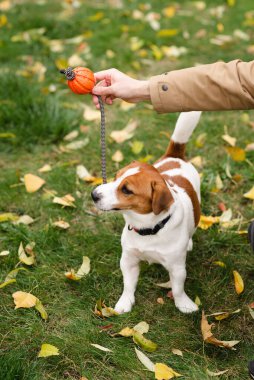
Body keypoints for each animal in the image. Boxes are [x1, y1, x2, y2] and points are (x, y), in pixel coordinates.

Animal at [91, 111, 200, 314]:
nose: (93, 194)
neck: (147, 229)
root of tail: (175, 155)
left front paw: (184, 304)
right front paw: (125, 302)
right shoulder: (128, 259)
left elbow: (178, 288)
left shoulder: (177, 267)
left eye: (126, 190)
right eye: (115, 177)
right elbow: (128, 284)